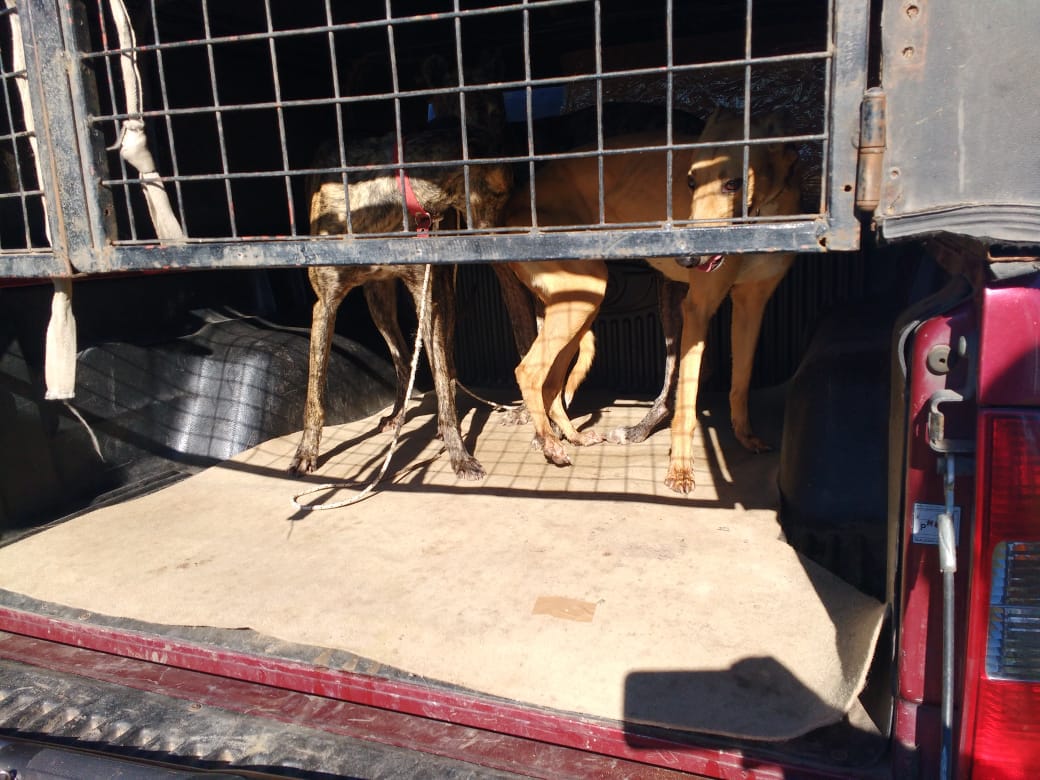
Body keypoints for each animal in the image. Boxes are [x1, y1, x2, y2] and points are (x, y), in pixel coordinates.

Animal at [288, 123, 513, 478]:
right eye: (504, 193)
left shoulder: (426, 294)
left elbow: (442, 380)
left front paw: (459, 454)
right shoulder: (325, 304)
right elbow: (315, 393)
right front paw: (306, 452)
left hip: (441, 292)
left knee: (442, 362)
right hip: (378, 302)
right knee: (402, 359)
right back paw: (397, 415)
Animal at [504, 108, 801, 492]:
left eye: (733, 183)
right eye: (690, 182)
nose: (687, 259)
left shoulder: (752, 305)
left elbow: (741, 382)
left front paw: (746, 437)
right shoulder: (697, 308)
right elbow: (686, 401)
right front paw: (681, 469)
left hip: (580, 307)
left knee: (552, 382)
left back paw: (572, 436)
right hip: (582, 299)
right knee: (528, 371)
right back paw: (551, 444)